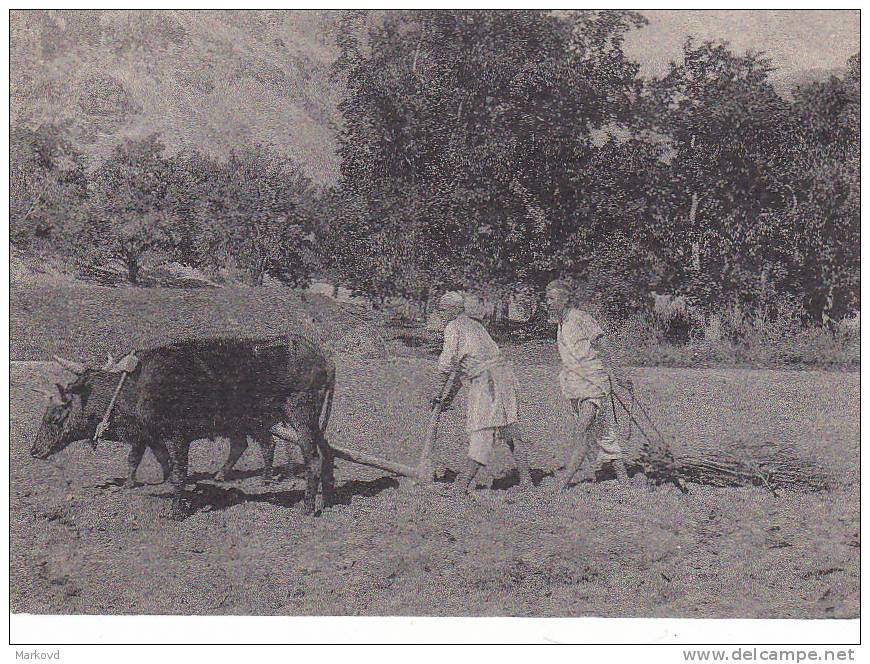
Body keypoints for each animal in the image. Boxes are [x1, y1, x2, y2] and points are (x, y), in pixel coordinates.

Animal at [30, 334, 338, 516]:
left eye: (54, 416)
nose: (34, 451)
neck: (134, 389)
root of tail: (325, 358)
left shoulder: (177, 435)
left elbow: (177, 472)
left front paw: (176, 509)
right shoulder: (153, 434)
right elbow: (159, 462)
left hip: (299, 414)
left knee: (310, 458)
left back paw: (306, 506)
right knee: (320, 454)